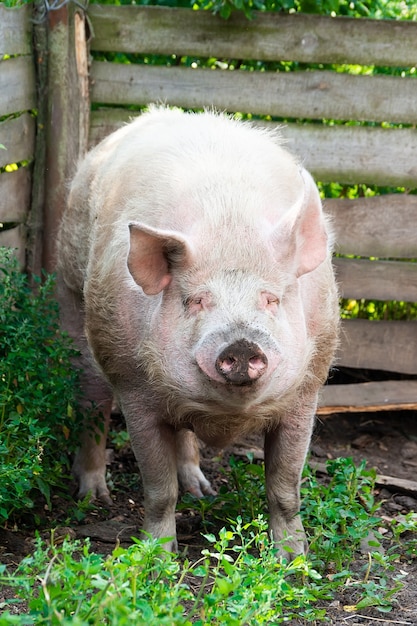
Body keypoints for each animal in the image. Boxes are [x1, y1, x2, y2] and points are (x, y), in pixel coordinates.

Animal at [57, 106, 338, 556]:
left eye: (271, 299)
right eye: (196, 300)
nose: (241, 342)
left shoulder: (306, 392)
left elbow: (285, 487)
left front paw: (295, 559)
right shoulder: (135, 391)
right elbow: (158, 488)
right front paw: (158, 557)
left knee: (184, 439)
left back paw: (202, 490)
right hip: (71, 294)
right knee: (93, 401)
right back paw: (93, 496)